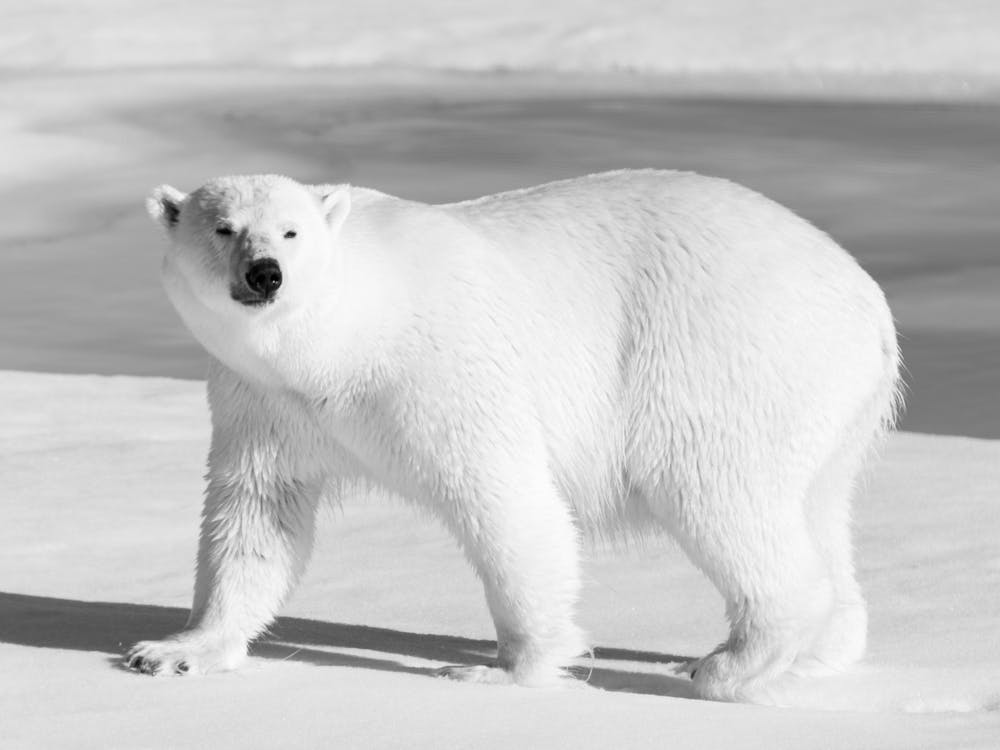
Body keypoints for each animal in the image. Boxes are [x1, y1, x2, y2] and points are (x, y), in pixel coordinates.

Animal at [128, 169, 901, 703]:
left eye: (292, 232)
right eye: (223, 228)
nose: (266, 275)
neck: (343, 340)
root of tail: (868, 299)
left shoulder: (439, 370)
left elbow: (505, 500)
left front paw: (502, 670)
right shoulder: (265, 403)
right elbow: (257, 517)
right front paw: (174, 650)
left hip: (720, 355)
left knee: (717, 493)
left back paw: (725, 664)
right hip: (826, 403)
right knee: (816, 506)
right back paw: (820, 652)